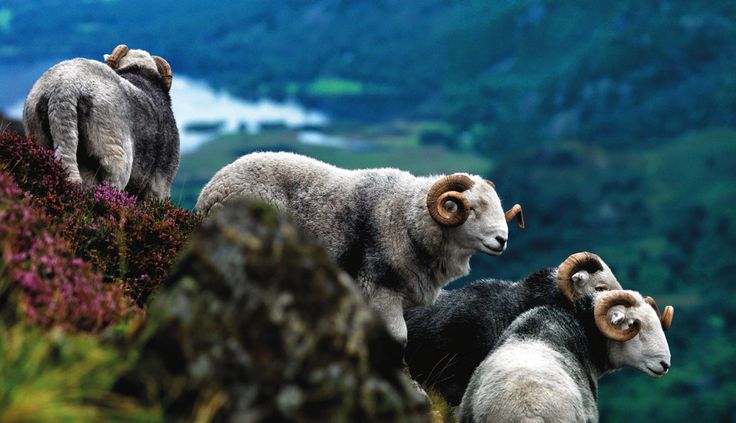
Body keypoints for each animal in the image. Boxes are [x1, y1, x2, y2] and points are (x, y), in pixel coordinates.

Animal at [196, 152, 524, 344]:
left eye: (498, 206)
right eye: (472, 209)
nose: (502, 240)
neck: (405, 217)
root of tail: (211, 187)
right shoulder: (381, 291)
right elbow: (400, 338)